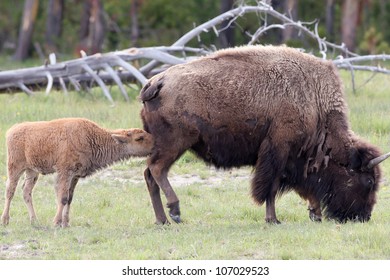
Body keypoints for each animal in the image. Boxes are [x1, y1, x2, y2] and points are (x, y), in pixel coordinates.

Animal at [1, 117, 154, 226]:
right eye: (139, 138)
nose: (155, 145)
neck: (91, 138)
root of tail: (11, 130)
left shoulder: (75, 176)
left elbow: (69, 198)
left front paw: (66, 223)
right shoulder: (65, 172)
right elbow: (62, 197)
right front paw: (57, 222)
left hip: (32, 171)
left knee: (26, 191)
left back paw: (34, 220)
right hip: (15, 167)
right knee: (10, 191)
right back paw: (5, 220)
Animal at [139, 46, 388, 225]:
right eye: (368, 181)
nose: (364, 217)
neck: (314, 101)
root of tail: (156, 82)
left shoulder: (293, 159)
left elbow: (302, 187)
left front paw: (314, 214)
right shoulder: (278, 150)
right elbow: (271, 186)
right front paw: (273, 219)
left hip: (165, 144)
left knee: (150, 175)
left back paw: (162, 220)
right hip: (175, 143)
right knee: (157, 169)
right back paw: (175, 211)